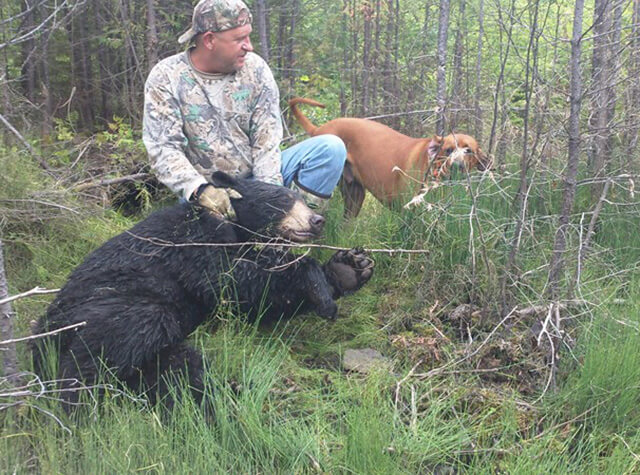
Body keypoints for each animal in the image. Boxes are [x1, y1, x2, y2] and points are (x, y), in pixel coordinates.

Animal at [33, 174, 376, 410]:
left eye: (304, 200)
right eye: (279, 199)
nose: (317, 220)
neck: (232, 225)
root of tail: (41, 330)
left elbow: (261, 302)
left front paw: (348, 269)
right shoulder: (192, 243)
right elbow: (232, 280)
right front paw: (320, 285)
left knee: (178, 369)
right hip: (100, 305)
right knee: (113, 341)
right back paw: (79, 404)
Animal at [290, 98, 490, 218]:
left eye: (469, 151)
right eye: (448, 150)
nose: (457, 165)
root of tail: (320, 129)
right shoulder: (408, 214)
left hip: (354, 195)